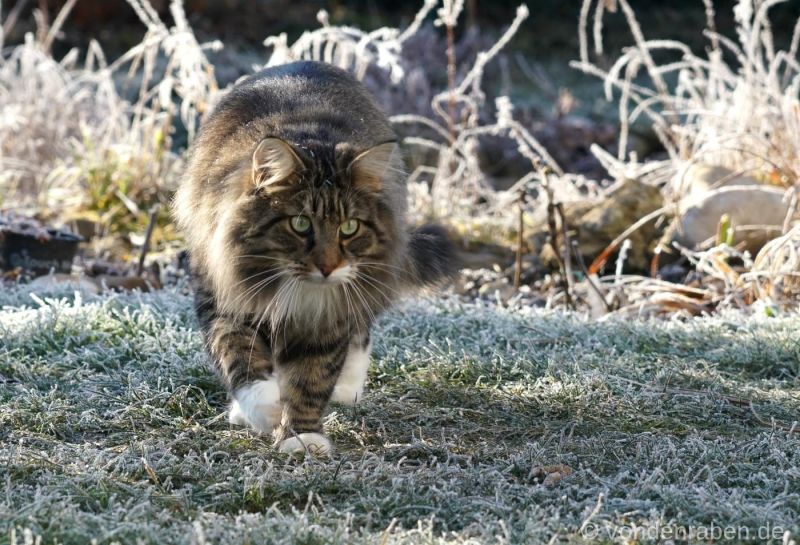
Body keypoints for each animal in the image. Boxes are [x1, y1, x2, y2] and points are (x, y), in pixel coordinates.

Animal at [173, 60, 456, 454]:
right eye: (301, 223)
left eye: (349, 227)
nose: (328, 266)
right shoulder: (222, 298)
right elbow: (241, 358)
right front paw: (265, 408)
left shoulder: (326, 318)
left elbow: (312, 377)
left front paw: (302, 436)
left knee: (361, 331)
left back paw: (347, 387)